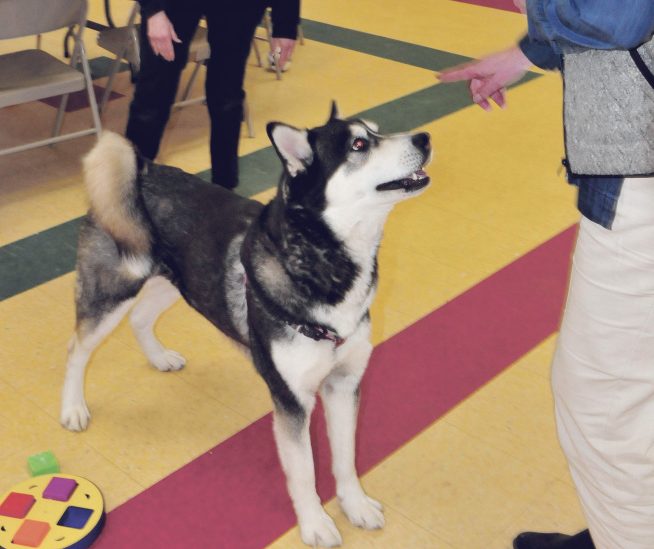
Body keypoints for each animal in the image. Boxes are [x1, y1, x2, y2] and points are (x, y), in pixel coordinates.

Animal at [60, 103, 430, 544]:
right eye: (359, 145)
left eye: (377, 131)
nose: (424, 138)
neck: (326, 265)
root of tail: (142, 169)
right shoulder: (291, 401)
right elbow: (303, 472)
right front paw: (315, 524)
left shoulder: (345, 382)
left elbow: (346, 456)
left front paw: (354, 504)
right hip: (113, 290)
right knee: (77, 347)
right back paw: (73, 408)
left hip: (183, 283)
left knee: (140, 317)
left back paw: (159, 357)